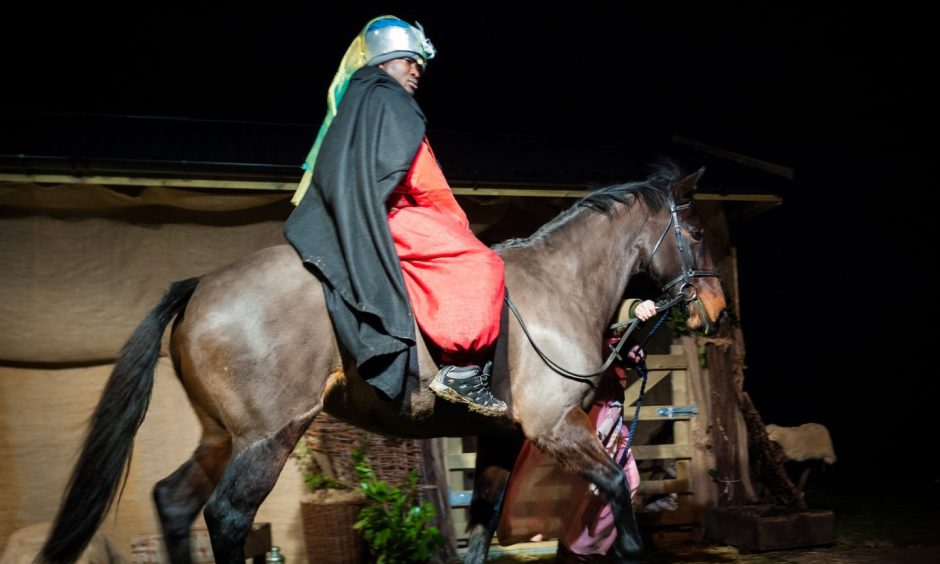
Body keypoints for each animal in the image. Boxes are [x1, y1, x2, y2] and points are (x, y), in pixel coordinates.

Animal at [38, 163, 728, 564]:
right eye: (695, 233)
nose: (718, 311)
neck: (556, 289)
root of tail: (201, 286)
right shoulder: (555, 428)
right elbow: (615, 490)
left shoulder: (502, 439)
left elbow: (481, 528)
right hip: (267, 438)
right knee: (227, 517)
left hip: (221, 436)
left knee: (176, 502)